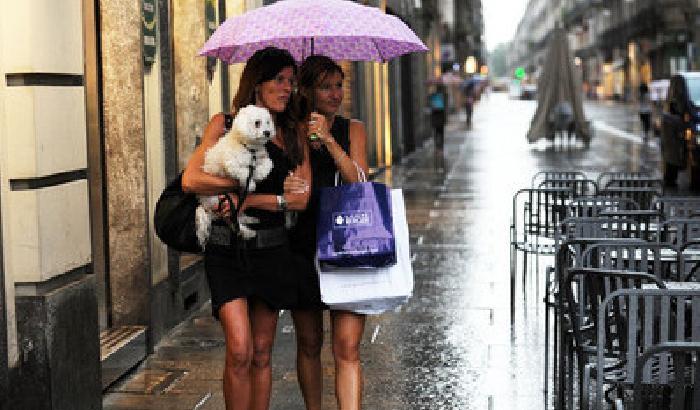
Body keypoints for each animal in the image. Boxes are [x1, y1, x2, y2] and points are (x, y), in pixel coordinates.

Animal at [197, 105, 276, 247]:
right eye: (257, 123)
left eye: (268, 122)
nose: (267, 132)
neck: (250, 149)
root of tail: (204, 205)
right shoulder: (232, 164)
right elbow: (244, 172)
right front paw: (251, 184)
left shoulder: (261, 157)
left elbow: (268, 164)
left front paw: (259, 174)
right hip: (221, 201)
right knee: (232, 221)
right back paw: (247, 232)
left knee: (237, 216)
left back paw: (248, 219)